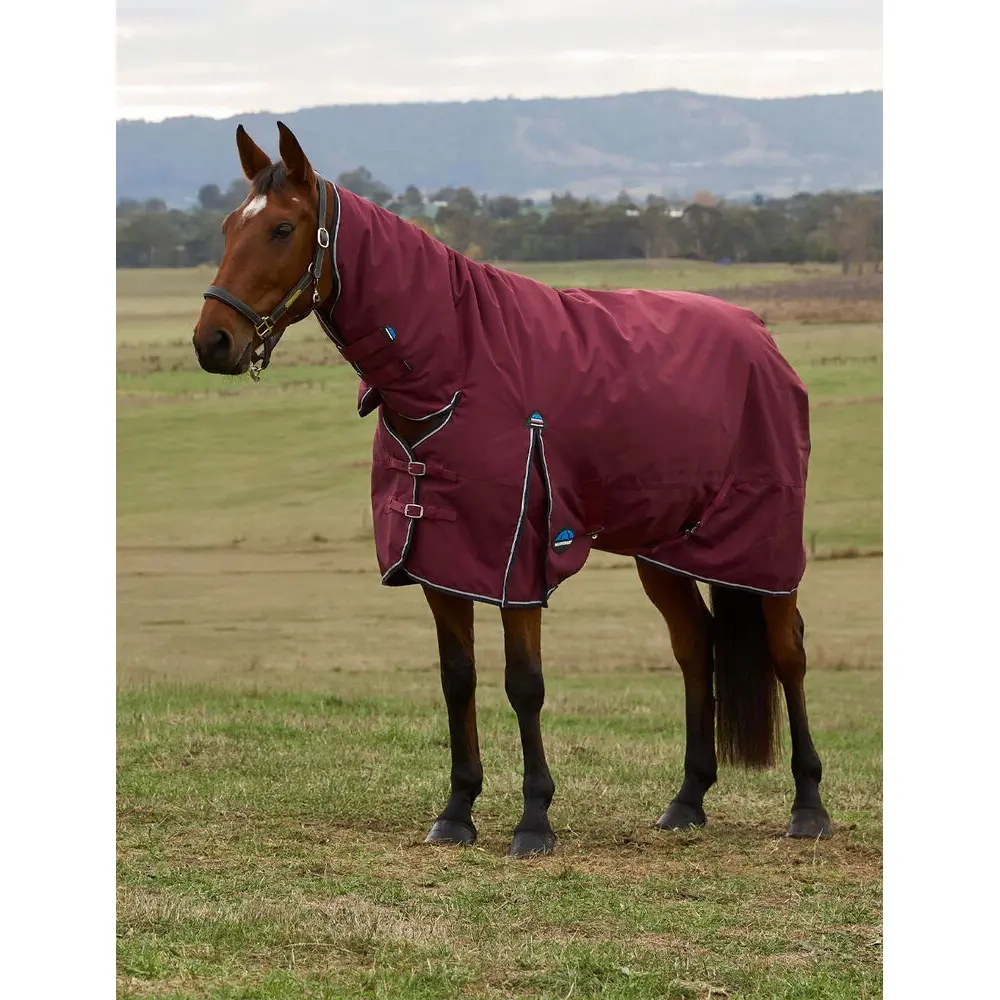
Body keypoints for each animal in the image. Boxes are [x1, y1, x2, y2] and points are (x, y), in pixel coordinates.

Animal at [192, 122, 831, 857]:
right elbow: (458, 679)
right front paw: (457, 811)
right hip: (663, 550)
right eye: (227, 226)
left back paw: (809, 805)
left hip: (763, 547)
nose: (213, 341)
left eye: (282, 228)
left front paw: (534, 819)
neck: (458, 368)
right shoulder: (441, 558)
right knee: (695, 646)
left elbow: (524, 684)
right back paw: (687, 798)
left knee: (788, 652)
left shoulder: (516, 561)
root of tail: (760, 336)